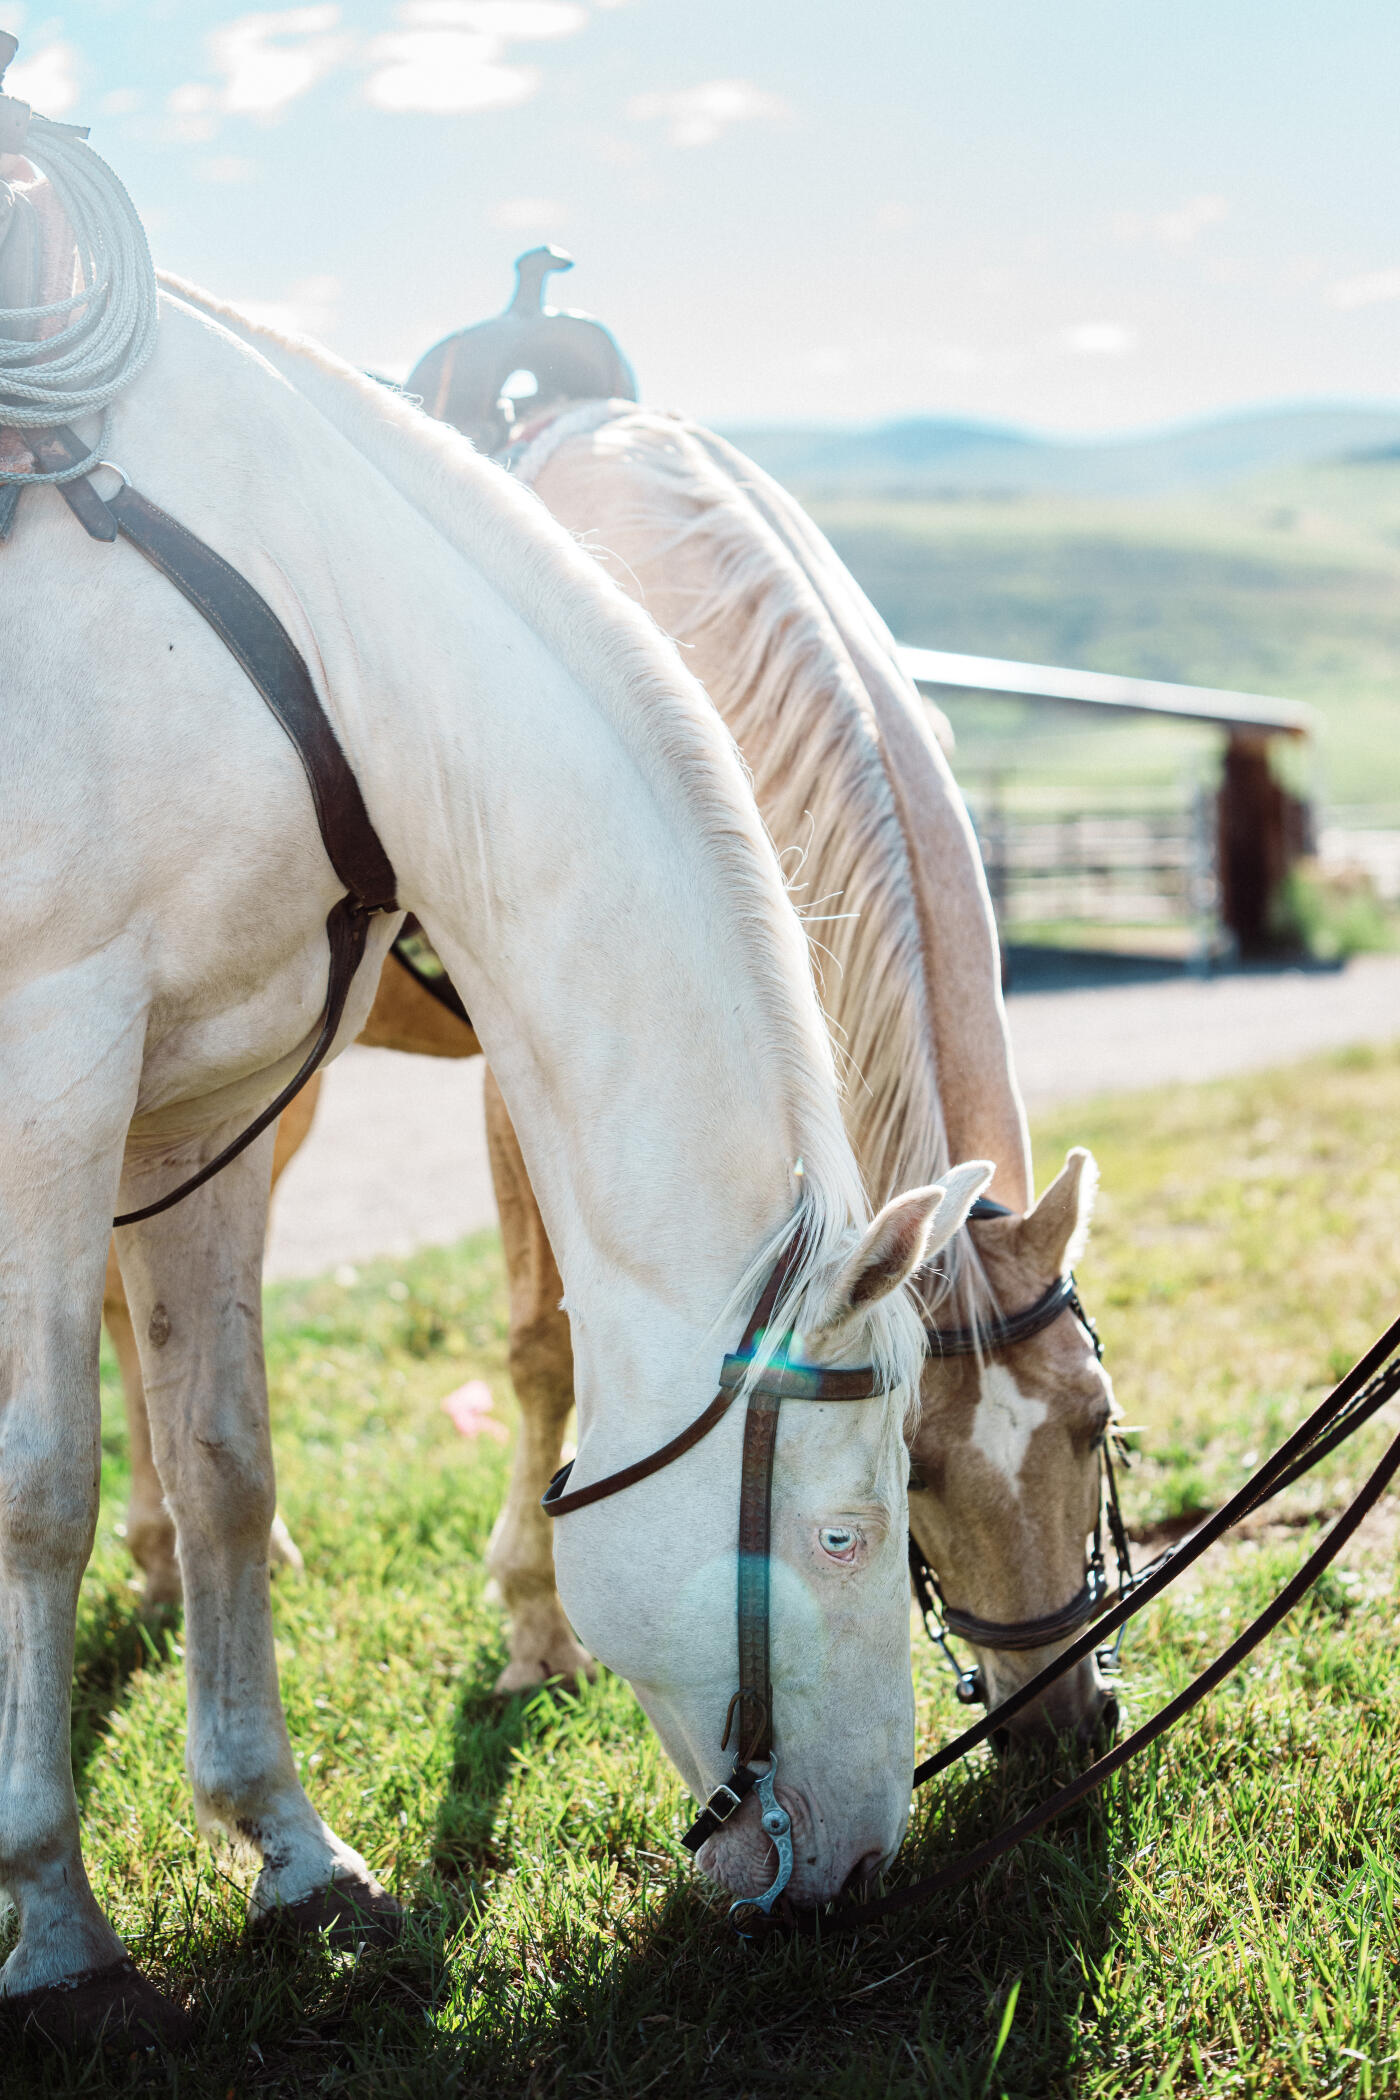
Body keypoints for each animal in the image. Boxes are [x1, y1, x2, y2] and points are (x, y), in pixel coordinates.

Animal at [2, 265, 976, 2034]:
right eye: (855, 1529)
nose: (873, 1863)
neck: (311, 611)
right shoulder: (60, 1054)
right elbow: (42, 1488)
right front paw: (53, 1919)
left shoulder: (206, 1091)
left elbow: (227, 1450)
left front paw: (290, 1852)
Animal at [106, 318, 1119, 1748]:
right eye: (908, 1459)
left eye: (1094, 1422)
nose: (1056, 1726)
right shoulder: (522, 1081)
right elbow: (543, 1349)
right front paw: (536, 1622)